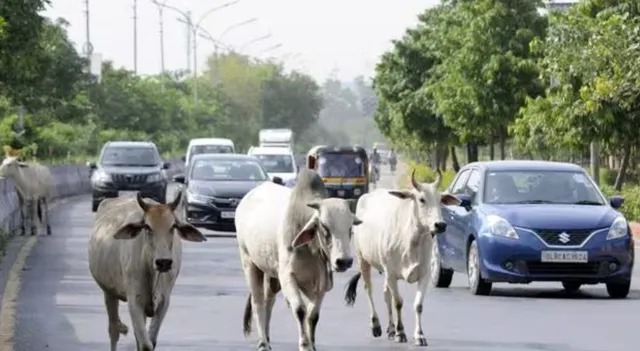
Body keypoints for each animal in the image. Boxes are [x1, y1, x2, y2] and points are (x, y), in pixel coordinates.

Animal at [87, 192, 205, 351]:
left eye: (173, 226)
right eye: (147, 227)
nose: (163, 262)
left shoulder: (163, 302)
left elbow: (150, 341)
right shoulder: (134, 301)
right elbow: (145, 344)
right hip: (108, 292)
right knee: (114, 330)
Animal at [236, 169, 364, 350]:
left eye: (350, 227)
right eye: (324, 226)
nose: (344, 261)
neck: (311, 248)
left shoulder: (321, 283)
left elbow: (313, 316)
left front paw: (312, 345)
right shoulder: (287, 277)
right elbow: (300, 311)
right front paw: (304, 344)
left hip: (271, 274)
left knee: (269, 301)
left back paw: (267, 337)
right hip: (249, 262)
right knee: (258, 302)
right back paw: (262, 343)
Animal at [344, 170, 460, 346]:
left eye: (440, 199)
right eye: (421, 199)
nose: (440, 225)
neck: (411, 240)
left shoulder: (424, 274)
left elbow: (418, 305)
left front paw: (419, 335)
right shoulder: (391, 273)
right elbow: (398, 302)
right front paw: (401, 333)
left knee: (386, 294)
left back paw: (391, 329)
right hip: (363, 259)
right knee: (369, 290)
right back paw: (376, 325)